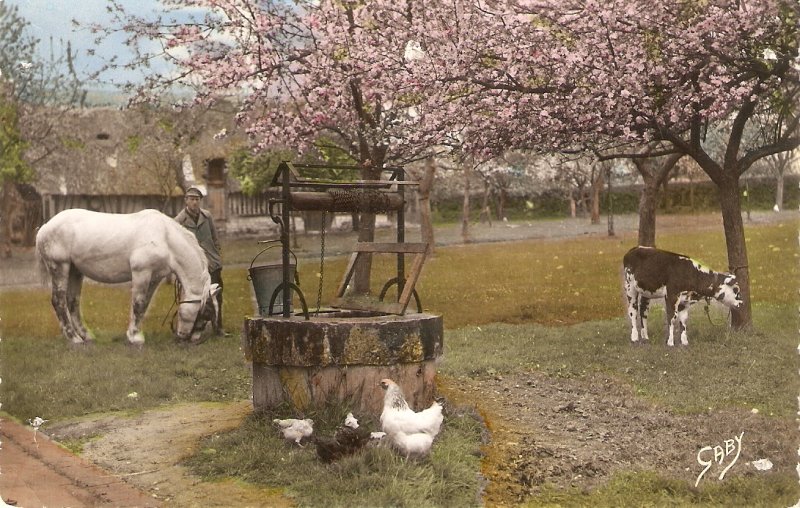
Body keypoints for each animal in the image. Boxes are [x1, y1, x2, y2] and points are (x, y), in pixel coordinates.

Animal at [35, 208, 219, 348]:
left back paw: (85, 335)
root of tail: (45, 227)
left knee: (73, 301)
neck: (164, 237)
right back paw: (73, 338)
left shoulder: (154, 277)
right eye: (205, 313)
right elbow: (138, 304)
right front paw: (136, 338)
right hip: (60, 267)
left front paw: (133, 333)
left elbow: (144, 305)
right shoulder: (141, 273)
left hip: (74, 271)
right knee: (59, 301)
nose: (190, 340)